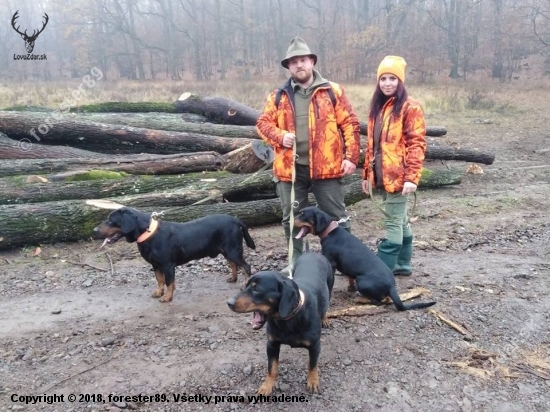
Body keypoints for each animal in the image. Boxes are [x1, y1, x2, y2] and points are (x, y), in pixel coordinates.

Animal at [94, 208, 256, 300]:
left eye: (110, 220)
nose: (94, 230)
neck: (149, 233)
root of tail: (236, 219)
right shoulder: (156, 265)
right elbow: (160, 280)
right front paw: (159, 292)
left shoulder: (168, 265)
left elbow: (169, 282)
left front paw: (167, 297)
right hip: (227, 251)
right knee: (233, 264)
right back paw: (233, 278)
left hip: (233, 250)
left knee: (246, 267)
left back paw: (244, 283)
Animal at [226, 253, 334, 394]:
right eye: (246, 286)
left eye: (256, 290)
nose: (229, 302)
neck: (287, 319)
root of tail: (312, 253)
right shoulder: (272, 345)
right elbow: (272, 368)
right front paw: (267, 386)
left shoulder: (315, 346)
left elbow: (312, 365)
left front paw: (313, 381)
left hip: (330, 286)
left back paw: (324, 319)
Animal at [296, 208, 438, 310]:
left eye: (303, 214)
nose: (291, 220)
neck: (330, 231)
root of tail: (391, 286)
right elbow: (350, 278)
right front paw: (350, 288)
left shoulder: (331, 263)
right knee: (385, 299)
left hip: (362, 282)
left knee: (379, 302)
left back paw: (360, 299)